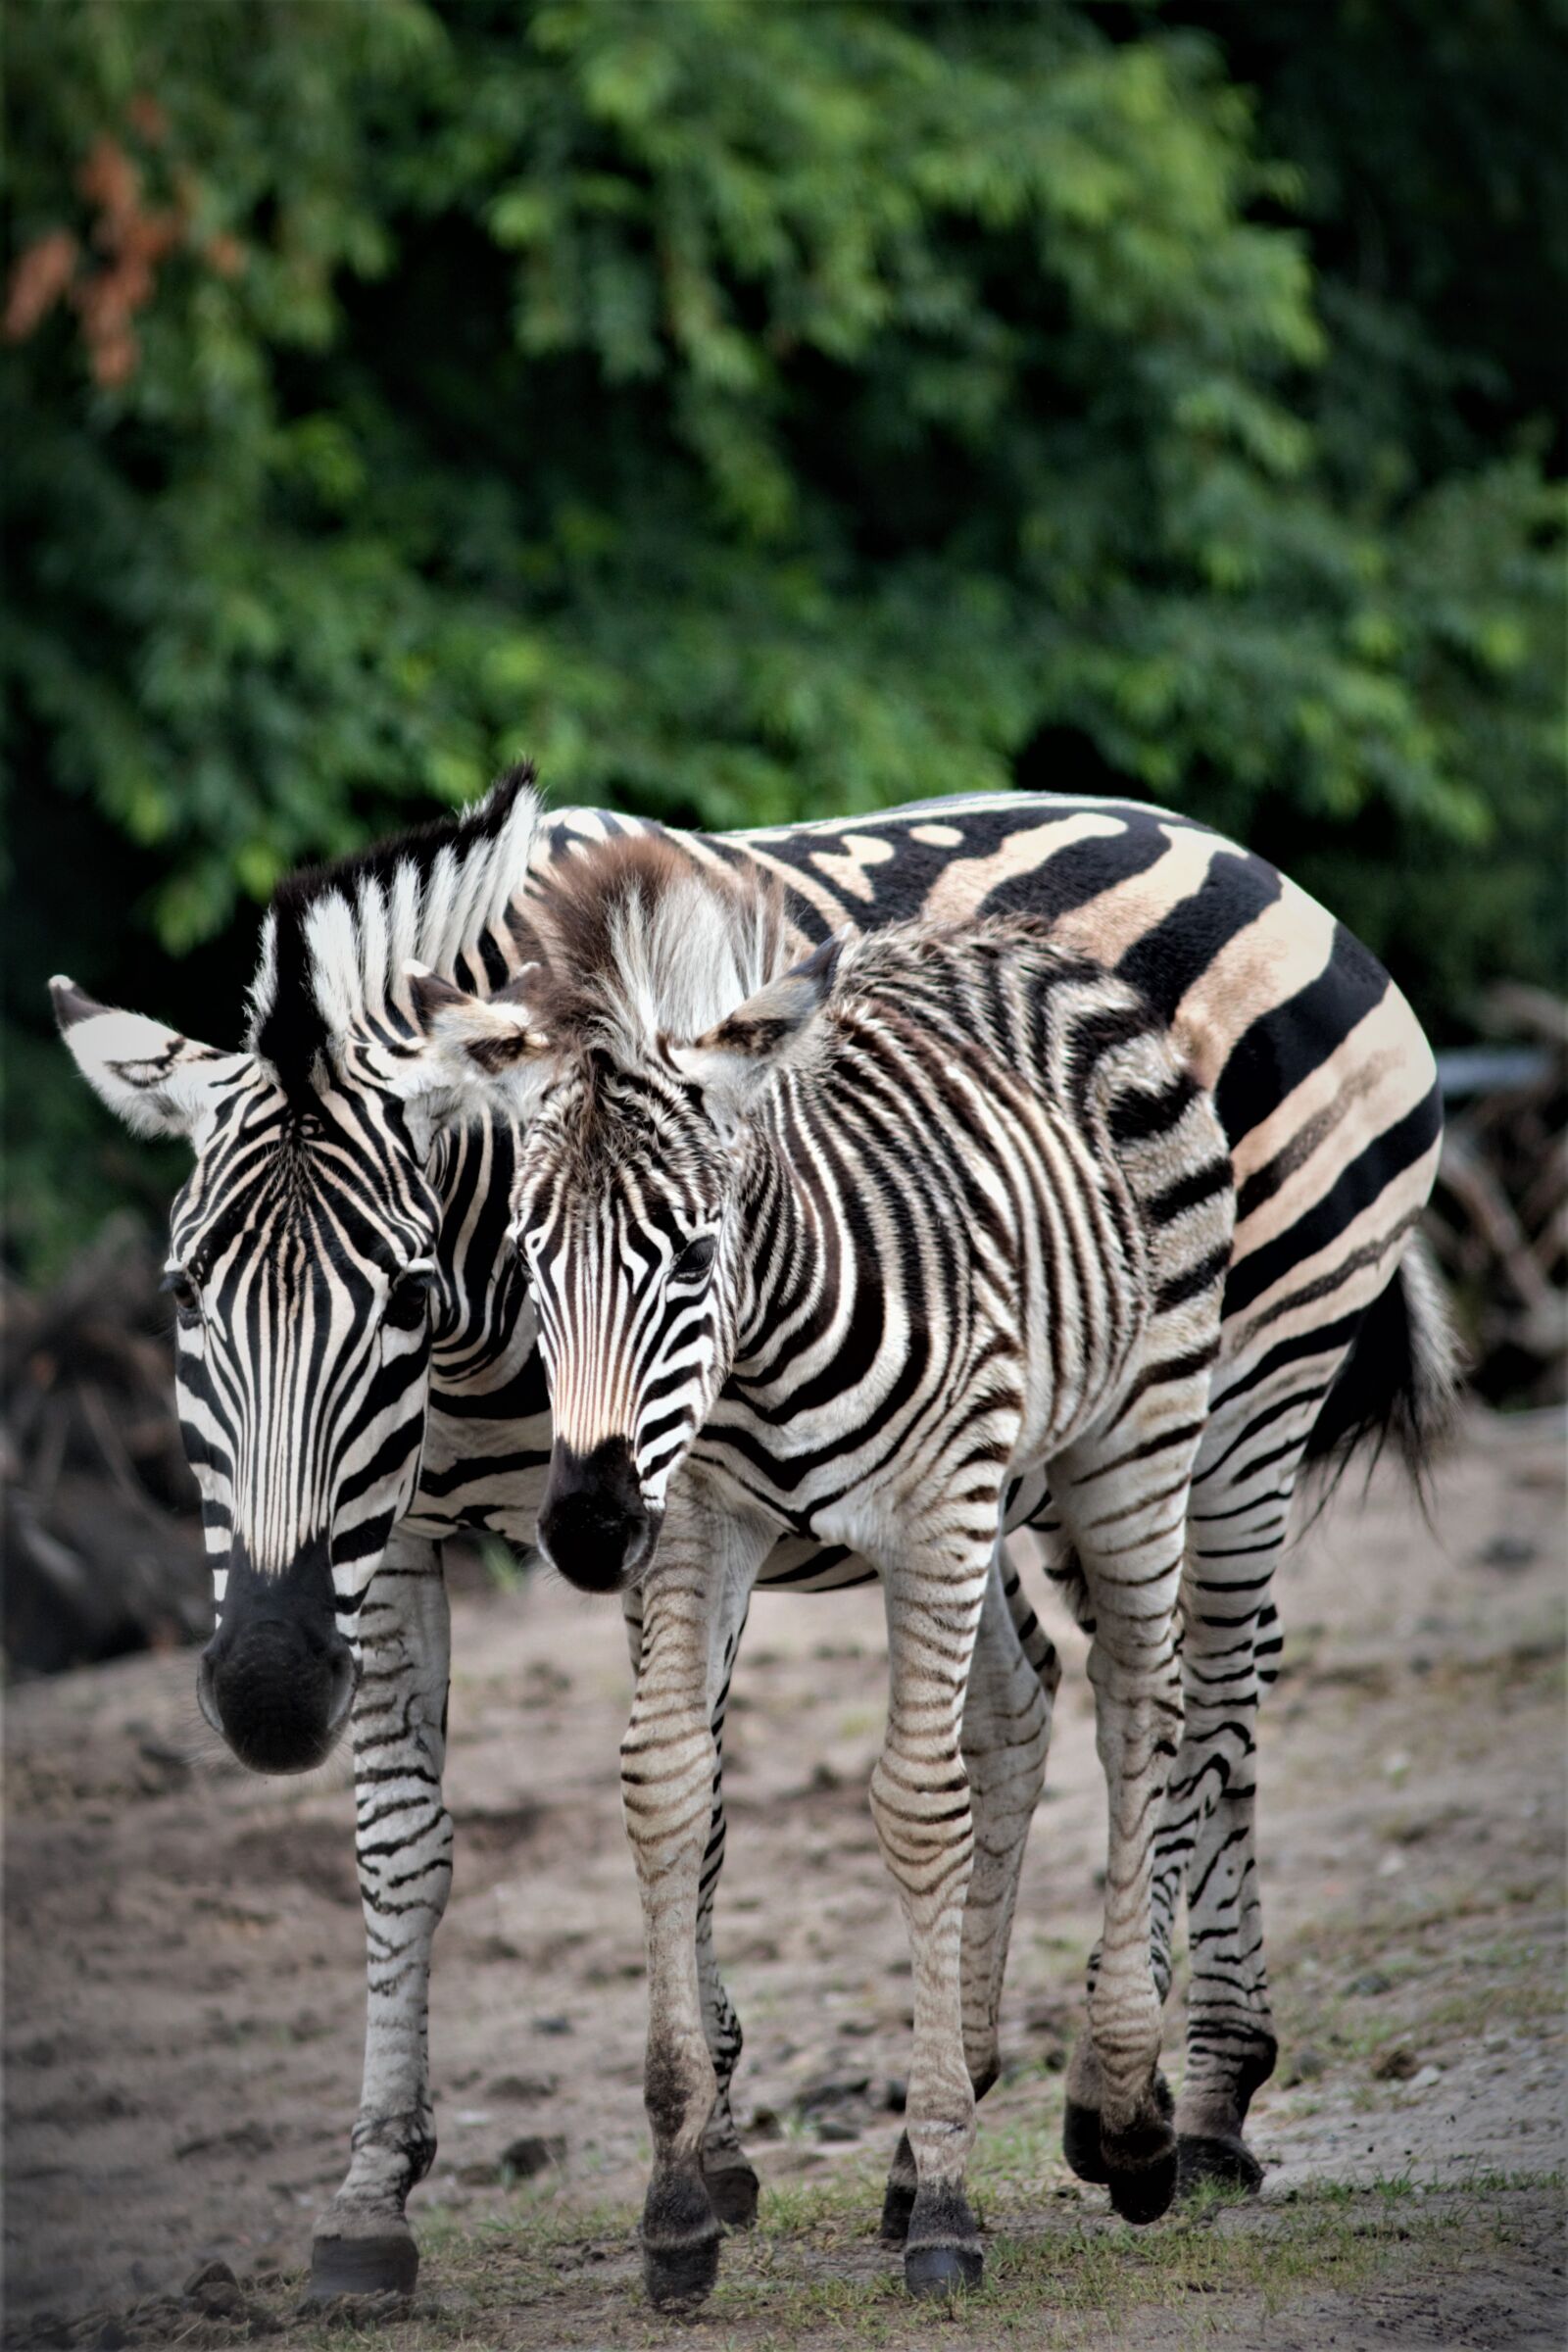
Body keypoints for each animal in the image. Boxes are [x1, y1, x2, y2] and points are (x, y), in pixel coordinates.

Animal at [51, 765, 1453, 2298]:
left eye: (405, 1294)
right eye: (185, 1294)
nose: (262, 1693)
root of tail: (1230, 849)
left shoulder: (646, 1500)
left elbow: (705, 1804)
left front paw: (713, 2153)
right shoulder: (400, 1536)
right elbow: (405, 1848)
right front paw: (373, 2200)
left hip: (1239, 1391)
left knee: (1210, 1698)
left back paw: (1185, 2106)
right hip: (1042, 1456)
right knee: (1038, 1705)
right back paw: (972, 2122)